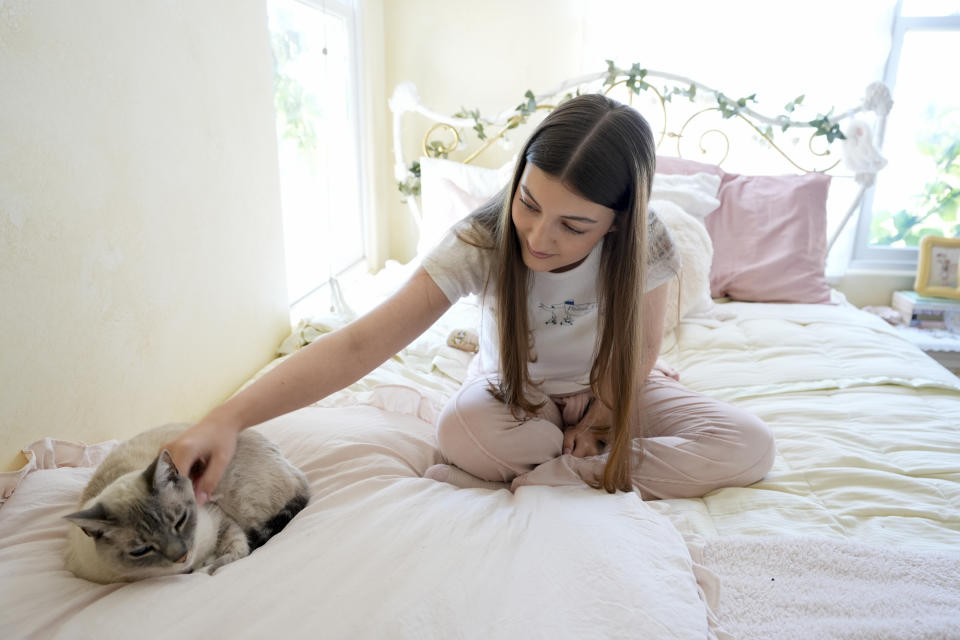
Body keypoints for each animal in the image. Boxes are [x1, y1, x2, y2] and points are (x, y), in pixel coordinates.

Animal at [63, 424, 310, 584]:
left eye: (180, 521)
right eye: (141, 551)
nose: (181, 556)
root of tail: (297, 472)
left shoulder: (221, 519)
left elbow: (235, 552)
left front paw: (207, 567)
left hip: (240, 502)